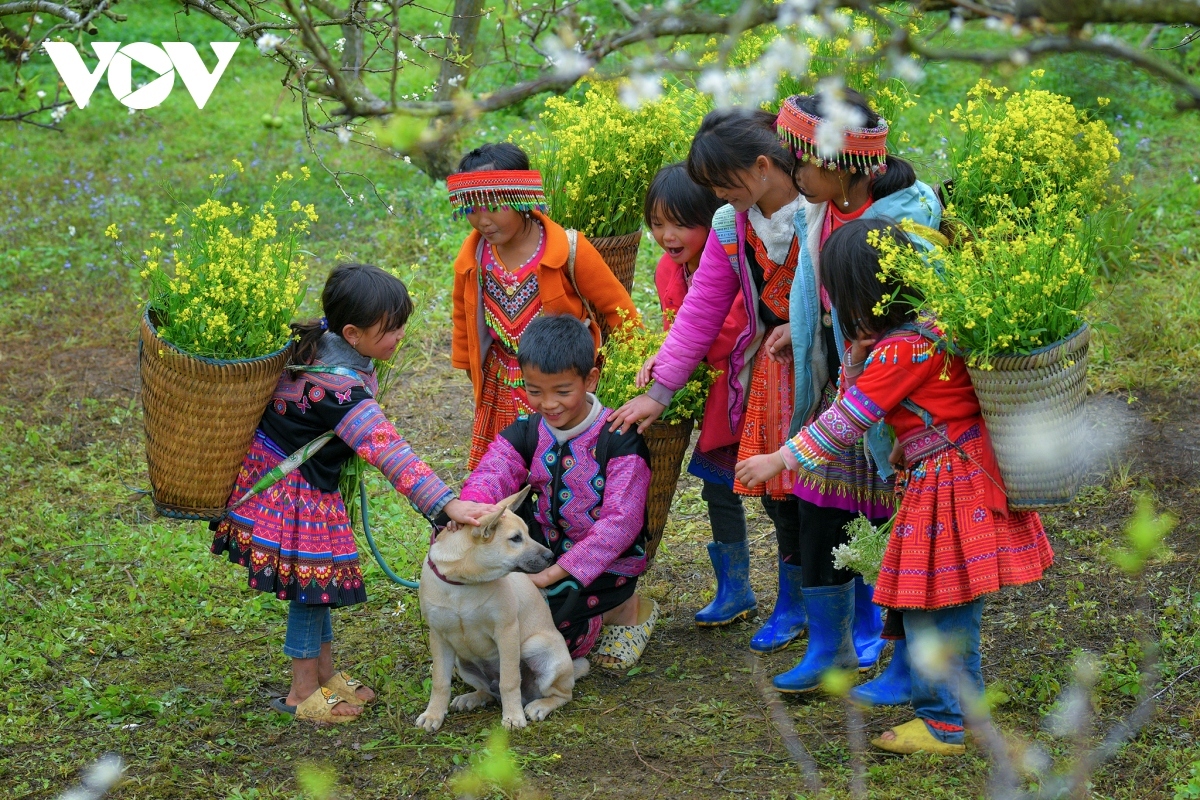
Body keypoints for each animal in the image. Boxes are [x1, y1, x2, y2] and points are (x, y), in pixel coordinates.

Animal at [415, 484, 588, 734]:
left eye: (528, 533)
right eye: (515, 538)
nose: (551, 556)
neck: (463, 584)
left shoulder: (506, 632)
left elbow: (509, 681)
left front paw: (513, 717)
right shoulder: (439, 637)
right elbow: (440, 681)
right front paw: (433, 714)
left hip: (538, 649)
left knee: (563, 694)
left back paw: (539, 706)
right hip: (463, 663)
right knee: (490, 691)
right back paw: (472, 697)